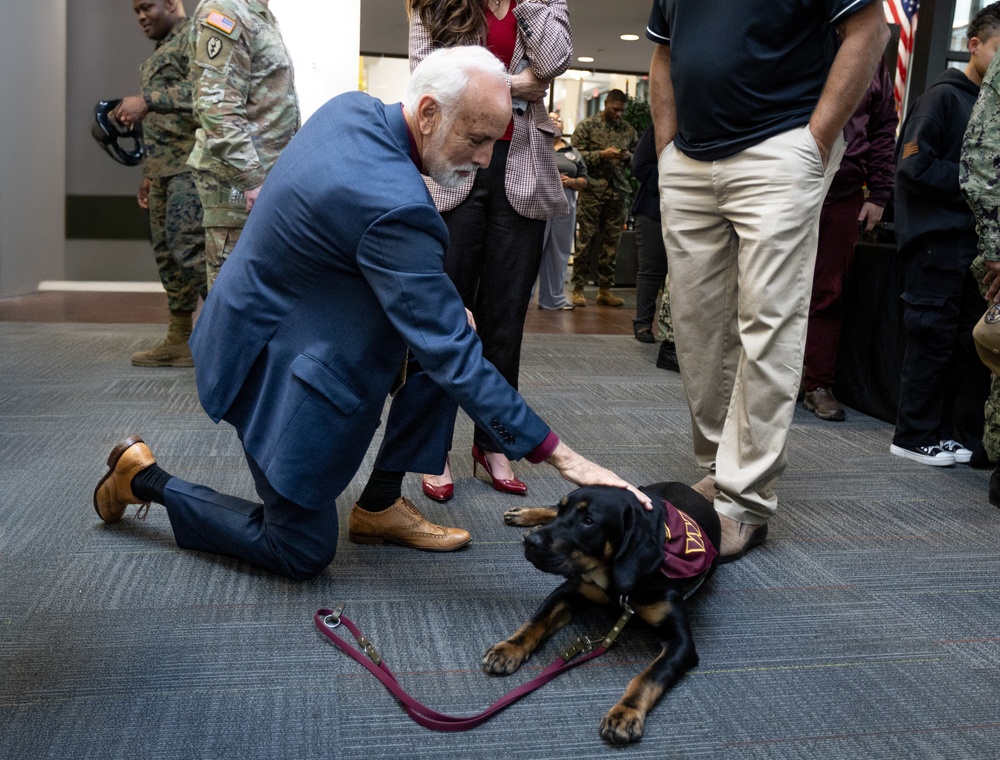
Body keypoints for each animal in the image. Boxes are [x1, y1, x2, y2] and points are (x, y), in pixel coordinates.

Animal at [482, 484, 720, 744]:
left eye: (588, 521)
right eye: (565, 511)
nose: (530, 543)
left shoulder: (681, 642)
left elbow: (650, 676)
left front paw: (625, 712)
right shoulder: (568, 591)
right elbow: (536, 620)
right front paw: (509, 648)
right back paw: (525, 516)